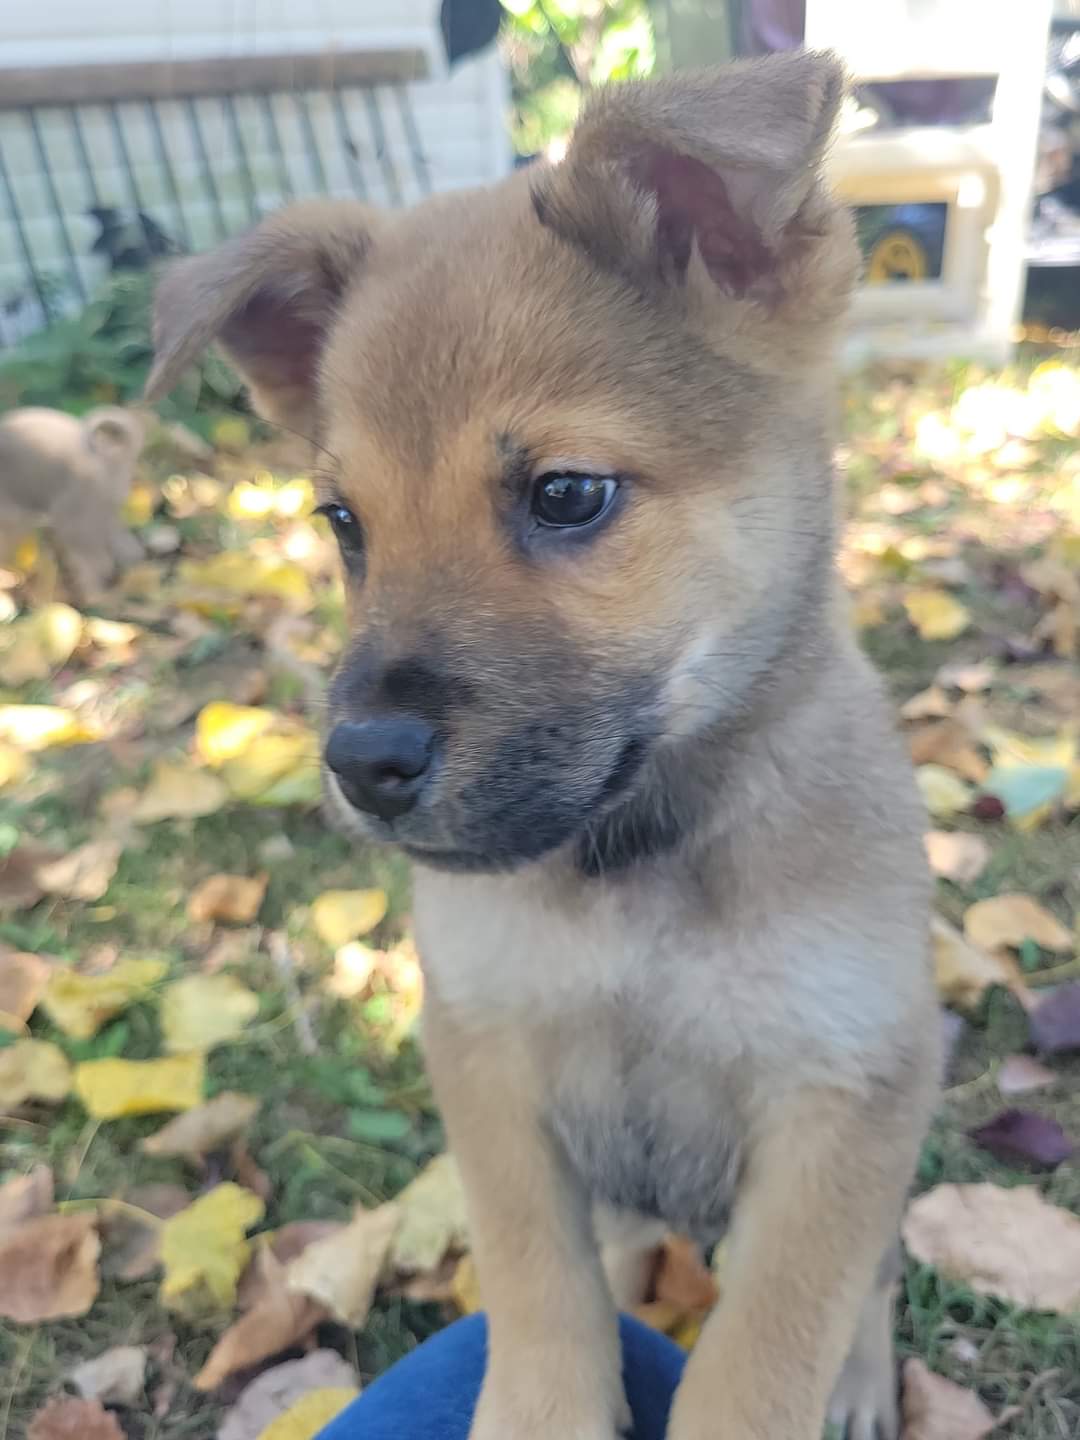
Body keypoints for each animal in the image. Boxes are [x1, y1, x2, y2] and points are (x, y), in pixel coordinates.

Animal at [0, 406, 144, 601]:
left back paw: (97, 598)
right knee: (122, 548)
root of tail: (104, 459)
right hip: (103, 514)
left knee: (98, 563)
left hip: (74, 523)